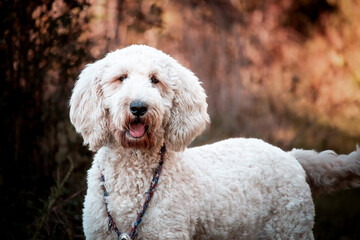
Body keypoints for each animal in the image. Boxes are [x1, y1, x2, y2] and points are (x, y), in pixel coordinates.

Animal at [69, 45, 360, 240]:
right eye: (121, 78)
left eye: (155, 80)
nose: (139, 107)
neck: (133, 169)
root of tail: (291, 156)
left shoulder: (168, 232)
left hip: (291, 228)